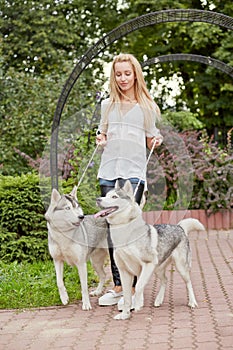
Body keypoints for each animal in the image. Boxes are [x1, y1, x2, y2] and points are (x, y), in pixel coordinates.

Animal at [95, 180, 205, 320]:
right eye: (105, 195)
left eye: (114, 197)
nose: (98, 199)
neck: (124, 231)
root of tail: (180, 227)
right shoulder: (124, 271)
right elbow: (126, 296)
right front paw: (125, 314)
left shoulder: (147, 265)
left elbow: (138, 287)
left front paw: (138, 303)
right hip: (157, 269)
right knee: (165, 280)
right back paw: (158, 300)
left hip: (180, 268)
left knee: (188, 282)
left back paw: (192, 302)